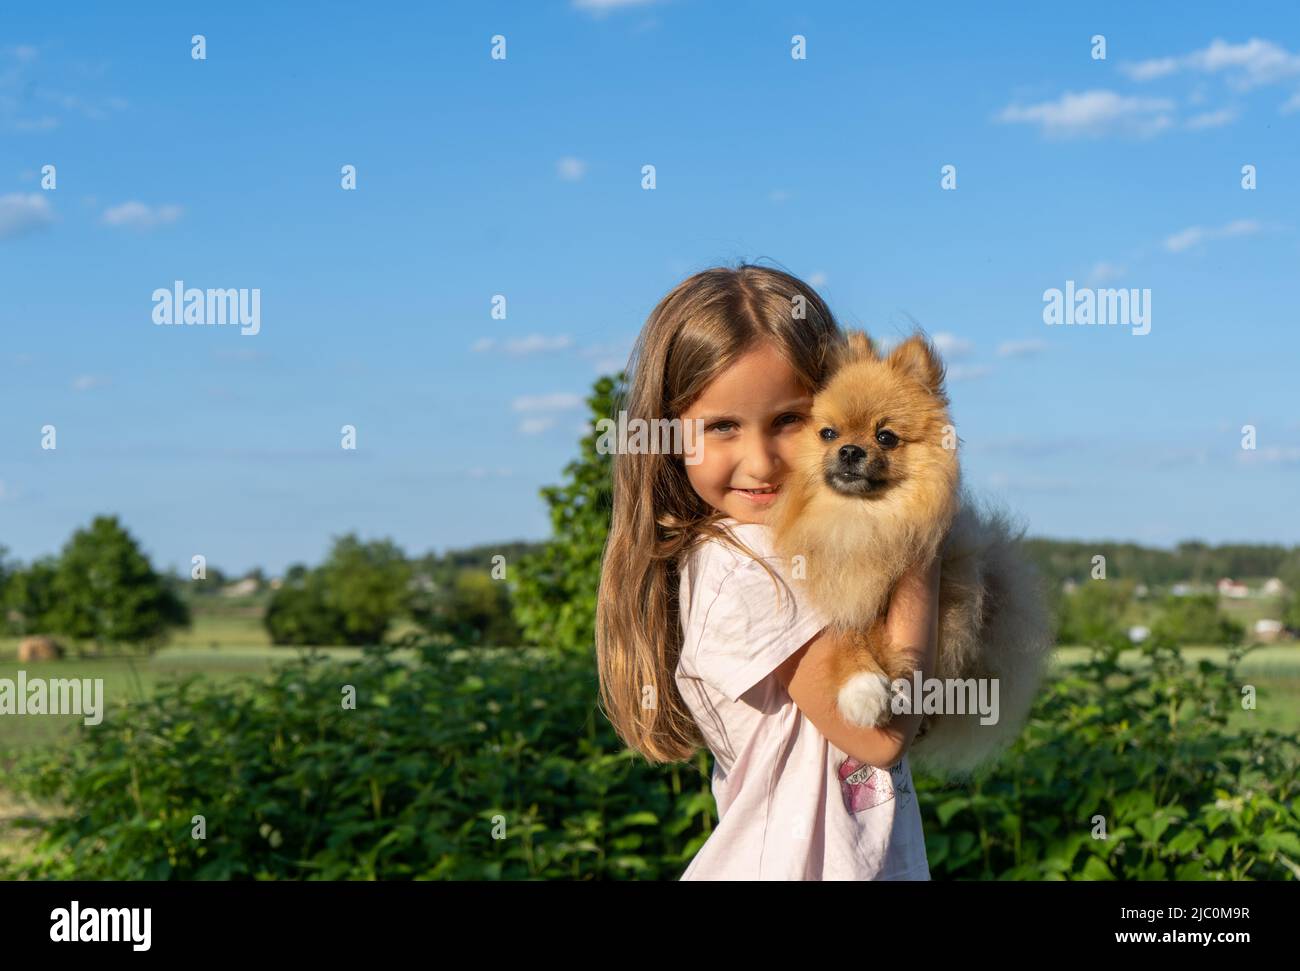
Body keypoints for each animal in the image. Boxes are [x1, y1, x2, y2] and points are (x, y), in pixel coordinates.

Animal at [769, 330, 1055, 779]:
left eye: (885, 437)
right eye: (828, 434)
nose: (850, 450)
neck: (859, 521)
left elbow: (878, 632)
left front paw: (887, 685)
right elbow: (847, 635)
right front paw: (865, 687)